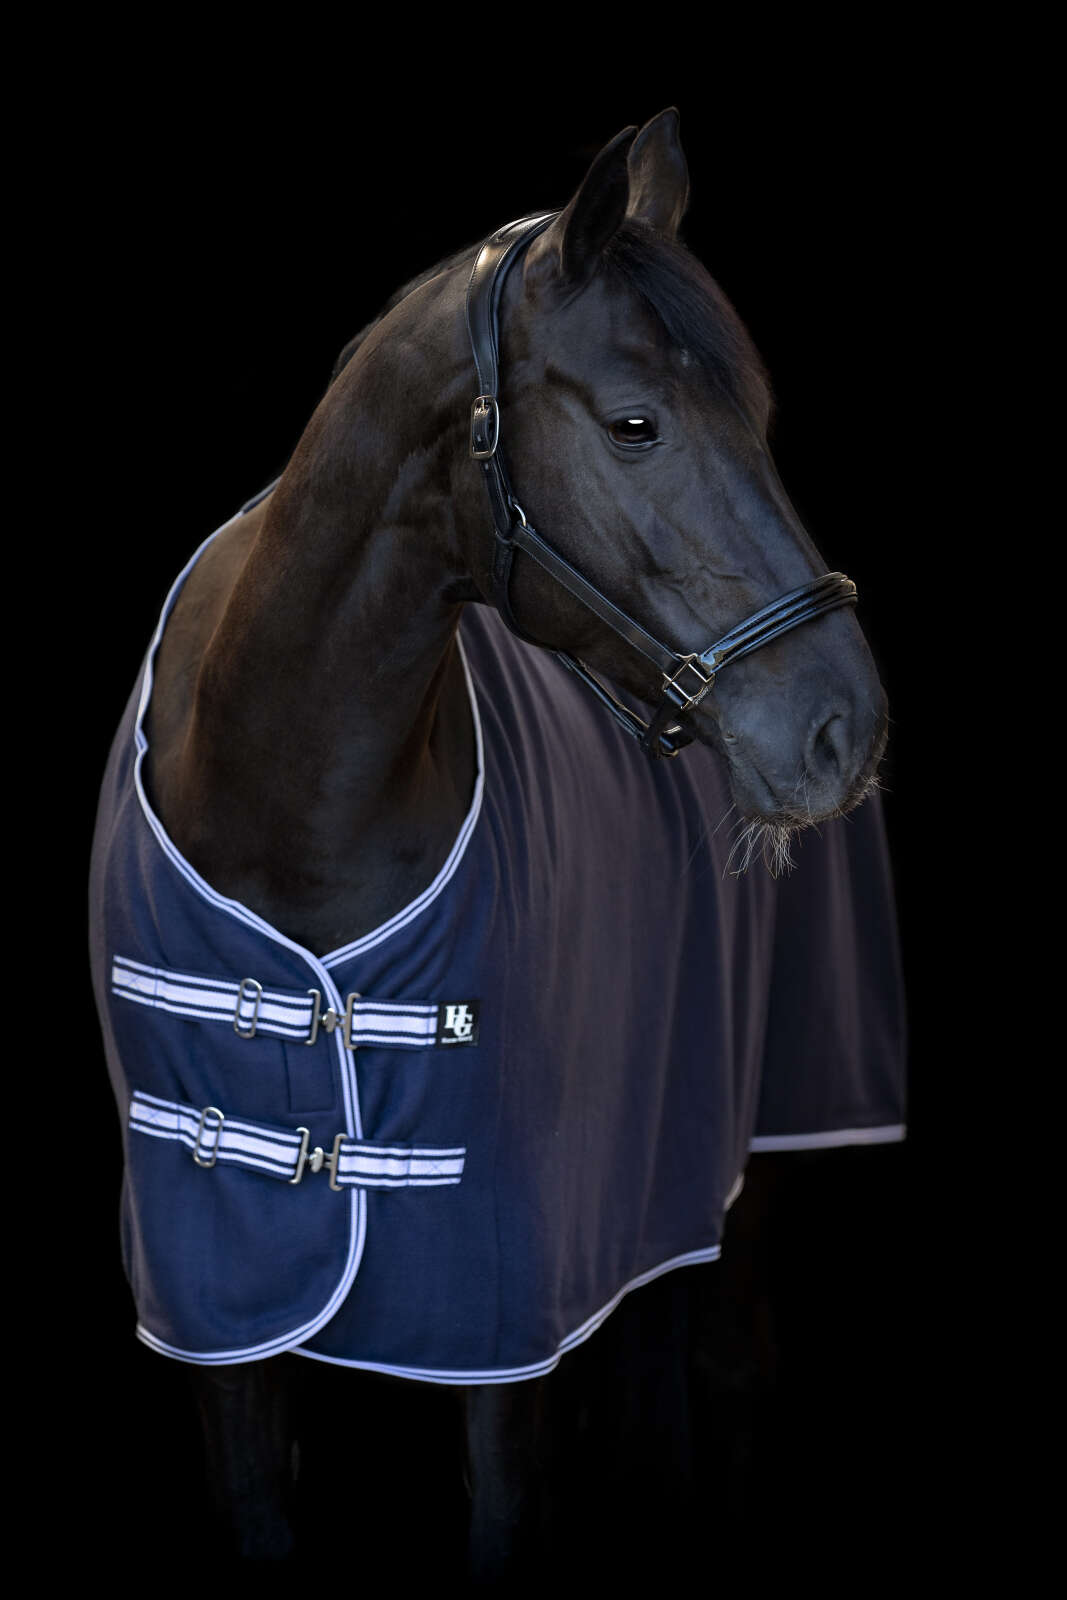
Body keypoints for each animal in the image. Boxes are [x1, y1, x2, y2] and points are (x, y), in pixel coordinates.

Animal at [89, 109, 905, 1577]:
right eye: (635, 424)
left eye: (759, 416)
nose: (840, 727)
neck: (283, 798)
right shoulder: (217, 1308)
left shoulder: (499, 1315)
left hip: (747, 1139)